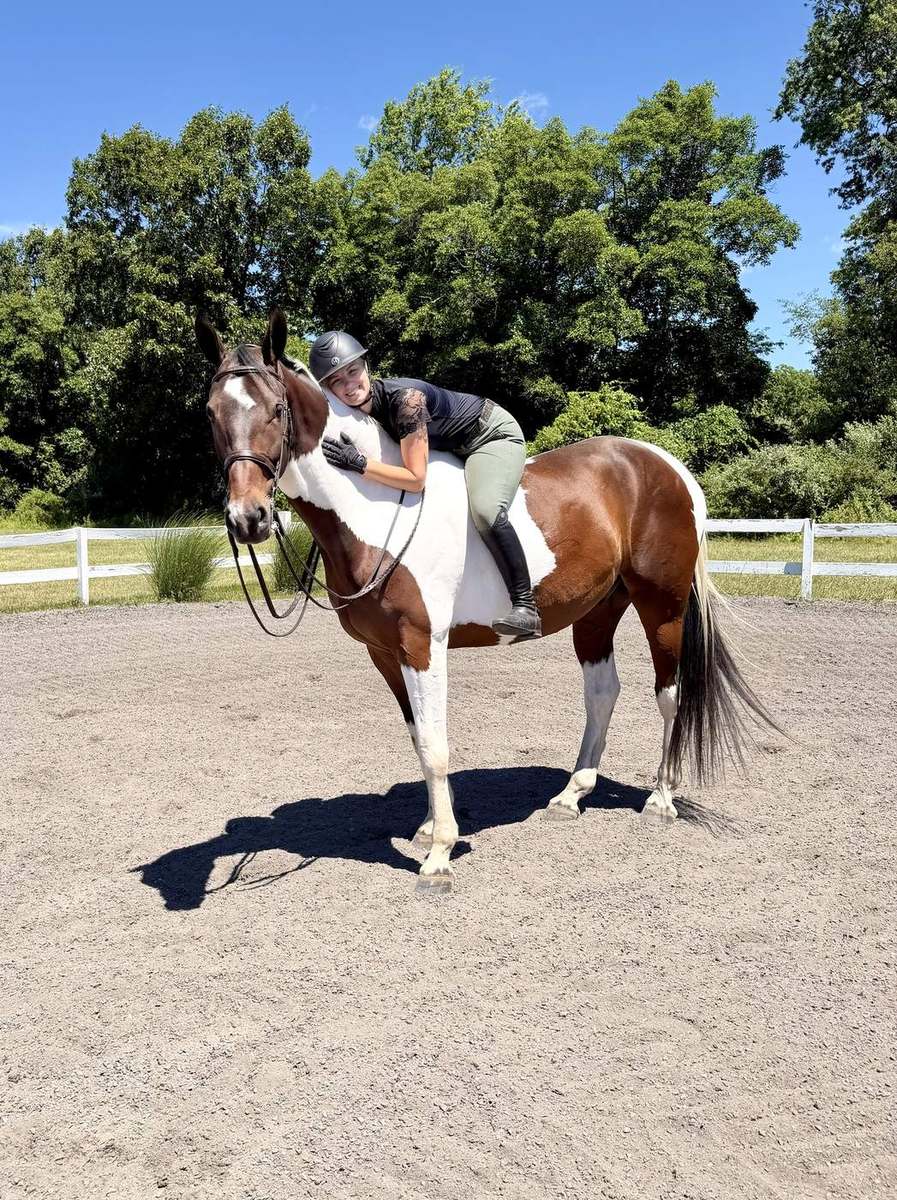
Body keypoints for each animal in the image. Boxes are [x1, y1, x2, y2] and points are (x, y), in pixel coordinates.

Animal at [196, 309, 775, 893]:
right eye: (211, 413)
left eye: (276, 410)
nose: (248, 519)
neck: (378, 509)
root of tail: (667, 466)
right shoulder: (384, 653)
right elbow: (419, 737)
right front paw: (430, 827)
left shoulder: (422, 644)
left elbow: (435, 745)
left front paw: (439, 856)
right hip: (596, 612)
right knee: (602, 692)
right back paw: (571, 795)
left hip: (662, 607)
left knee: (669, 695)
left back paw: (660, 798)